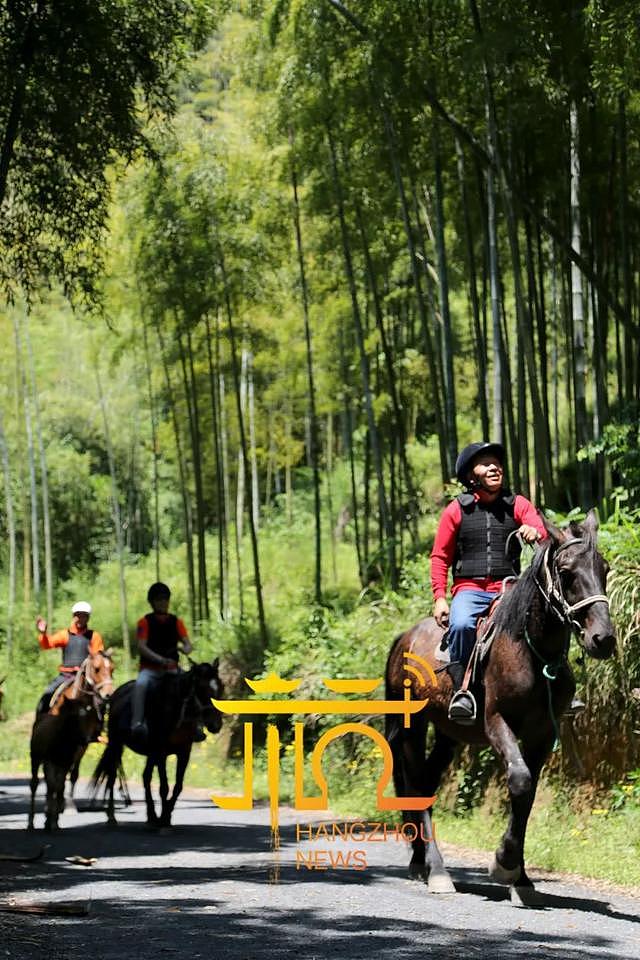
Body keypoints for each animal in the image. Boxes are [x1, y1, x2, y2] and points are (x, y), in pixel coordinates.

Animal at [28, 652, 114, 832]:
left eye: (112, 669)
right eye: (97, 669)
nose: (109, 694)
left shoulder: (83, 744)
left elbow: (72, 775)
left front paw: (66, 806)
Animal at [91, 656, 224, 828]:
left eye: (221, 687)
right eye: (202, 689)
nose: (216, 725)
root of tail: (115, 694)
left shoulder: (184, 752)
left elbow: (177, 786)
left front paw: (165, 818)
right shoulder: (161, 753)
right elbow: (164, 787)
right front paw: (163, 820)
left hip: (148, 753)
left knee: (145, 777)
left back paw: (151, 817)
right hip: (116, 744)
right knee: (112, 776)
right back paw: (112, 817)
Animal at [384, 512, 616, 896]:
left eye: (604, 568)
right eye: (566, 572)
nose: (603, 639)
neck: (531, 651)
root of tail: (406, 637)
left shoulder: (542, 733)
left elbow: (528, 794)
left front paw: (519, 878)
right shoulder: (497, 723)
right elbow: (520, 780)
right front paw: (504, 864)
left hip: (448, 736)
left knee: (427, 785)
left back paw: (420, 861)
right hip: (411, 727)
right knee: (416, 787)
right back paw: (436, 870)